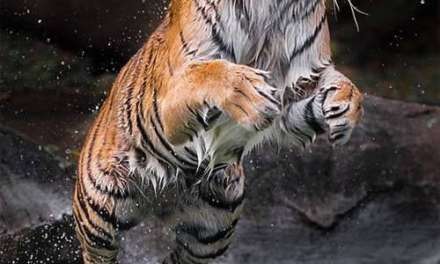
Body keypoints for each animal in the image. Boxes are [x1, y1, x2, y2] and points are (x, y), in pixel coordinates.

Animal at [73, 0, 364, 262]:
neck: (271, 8)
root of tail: (160, 204)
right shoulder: (168, 101)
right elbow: (209, 72)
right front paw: (249, 92)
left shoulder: (300, 86)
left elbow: (344, 90)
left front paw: (344, 107)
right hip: (101, 211)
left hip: (214, 229)